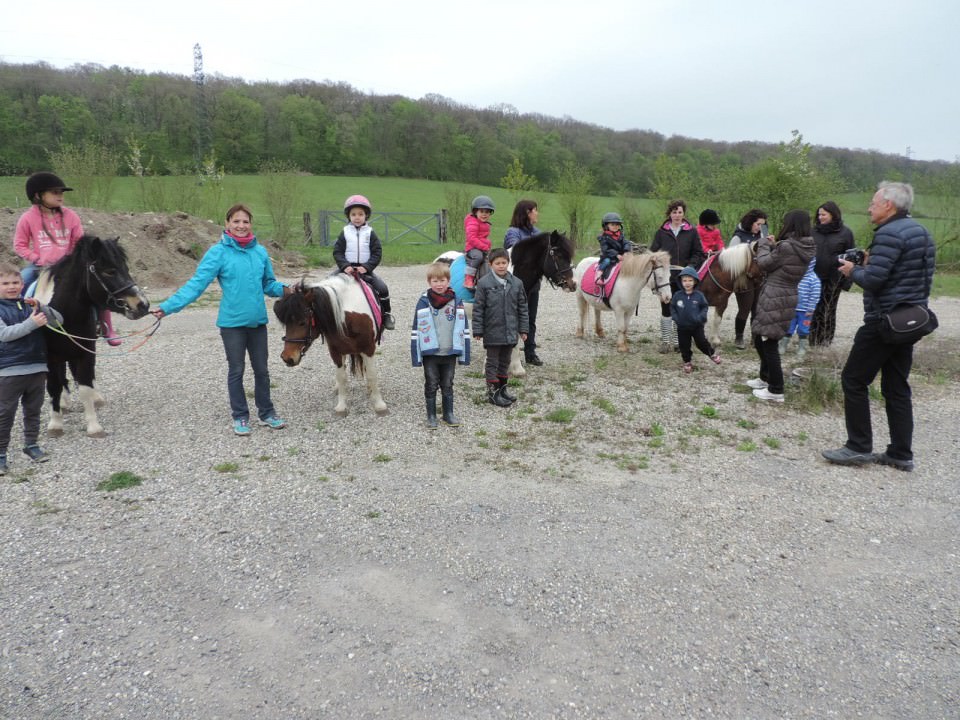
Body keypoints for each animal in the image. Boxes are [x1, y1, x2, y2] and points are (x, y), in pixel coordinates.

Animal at [33, 236, 150, 438]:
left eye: (126, 269)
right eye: (110, 271)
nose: (142, 304)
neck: (63, 314)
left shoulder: (85, 352)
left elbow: (85, 388)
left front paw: (94, 426)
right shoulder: (49, 357)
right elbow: (54, 387)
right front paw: (55, 424)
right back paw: (63, 403)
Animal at [274, 278, 386, 420]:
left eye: (302, 322)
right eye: (286, 323)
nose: (287, 357)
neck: (348, 317)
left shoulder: (368, 349)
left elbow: (372, 374)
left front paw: (379, 405)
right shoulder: (335, 352)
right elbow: (341, 377)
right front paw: (341, 407)